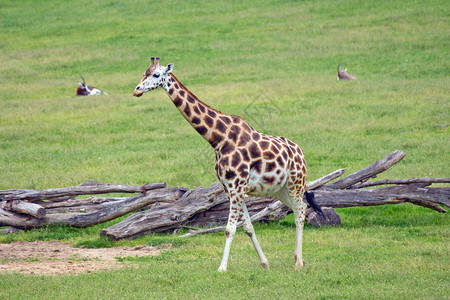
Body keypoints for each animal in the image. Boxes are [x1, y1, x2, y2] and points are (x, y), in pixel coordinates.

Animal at [132, 56, 322, 272]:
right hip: (279, 189)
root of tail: (301, 152)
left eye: (156, 75)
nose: (136, 90)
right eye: (144, 73)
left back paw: (298, 262)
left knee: (300, 212)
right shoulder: (230, 188)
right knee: (301, 207)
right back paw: (300, 259)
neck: (218, 139)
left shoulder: (237, 186)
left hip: (295, 182)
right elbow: (247, 227)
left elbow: (229, 229)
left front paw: (222, 268)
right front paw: (264, 263)